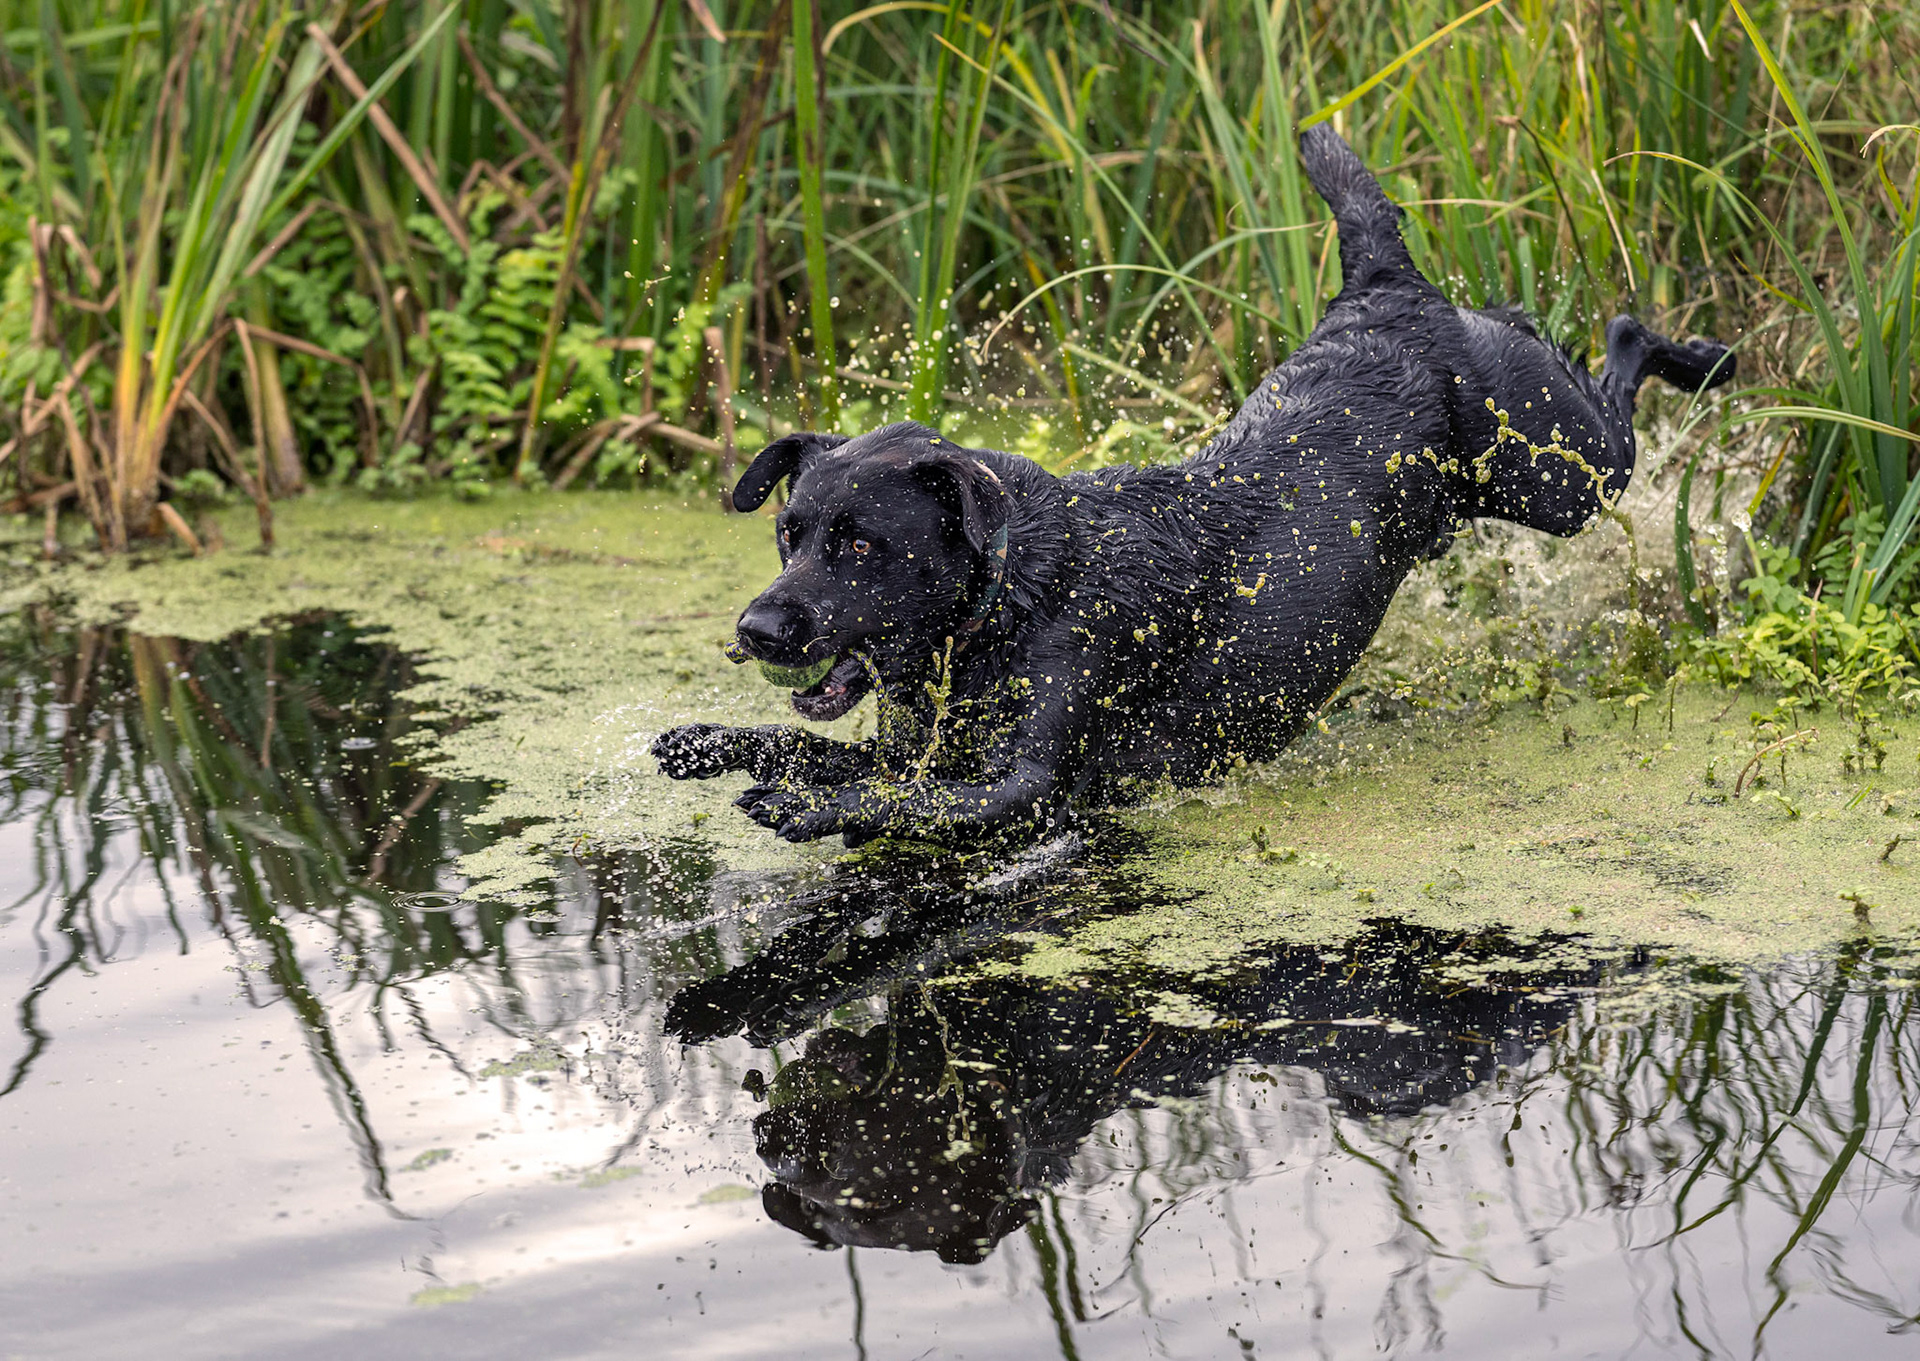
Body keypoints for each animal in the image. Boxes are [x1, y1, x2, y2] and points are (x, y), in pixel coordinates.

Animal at [653, 125, 1734, 846]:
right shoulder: (921, 745)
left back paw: (1705, 360)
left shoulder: (1023, 781)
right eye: (788, 532)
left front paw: (802, 805)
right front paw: (708, 741)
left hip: (1564, 474)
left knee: (1623, 345)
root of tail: (1385, 287)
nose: (756, 626)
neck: (1016, 595)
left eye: (862, 543)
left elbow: (893, 798)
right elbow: (808, 746)